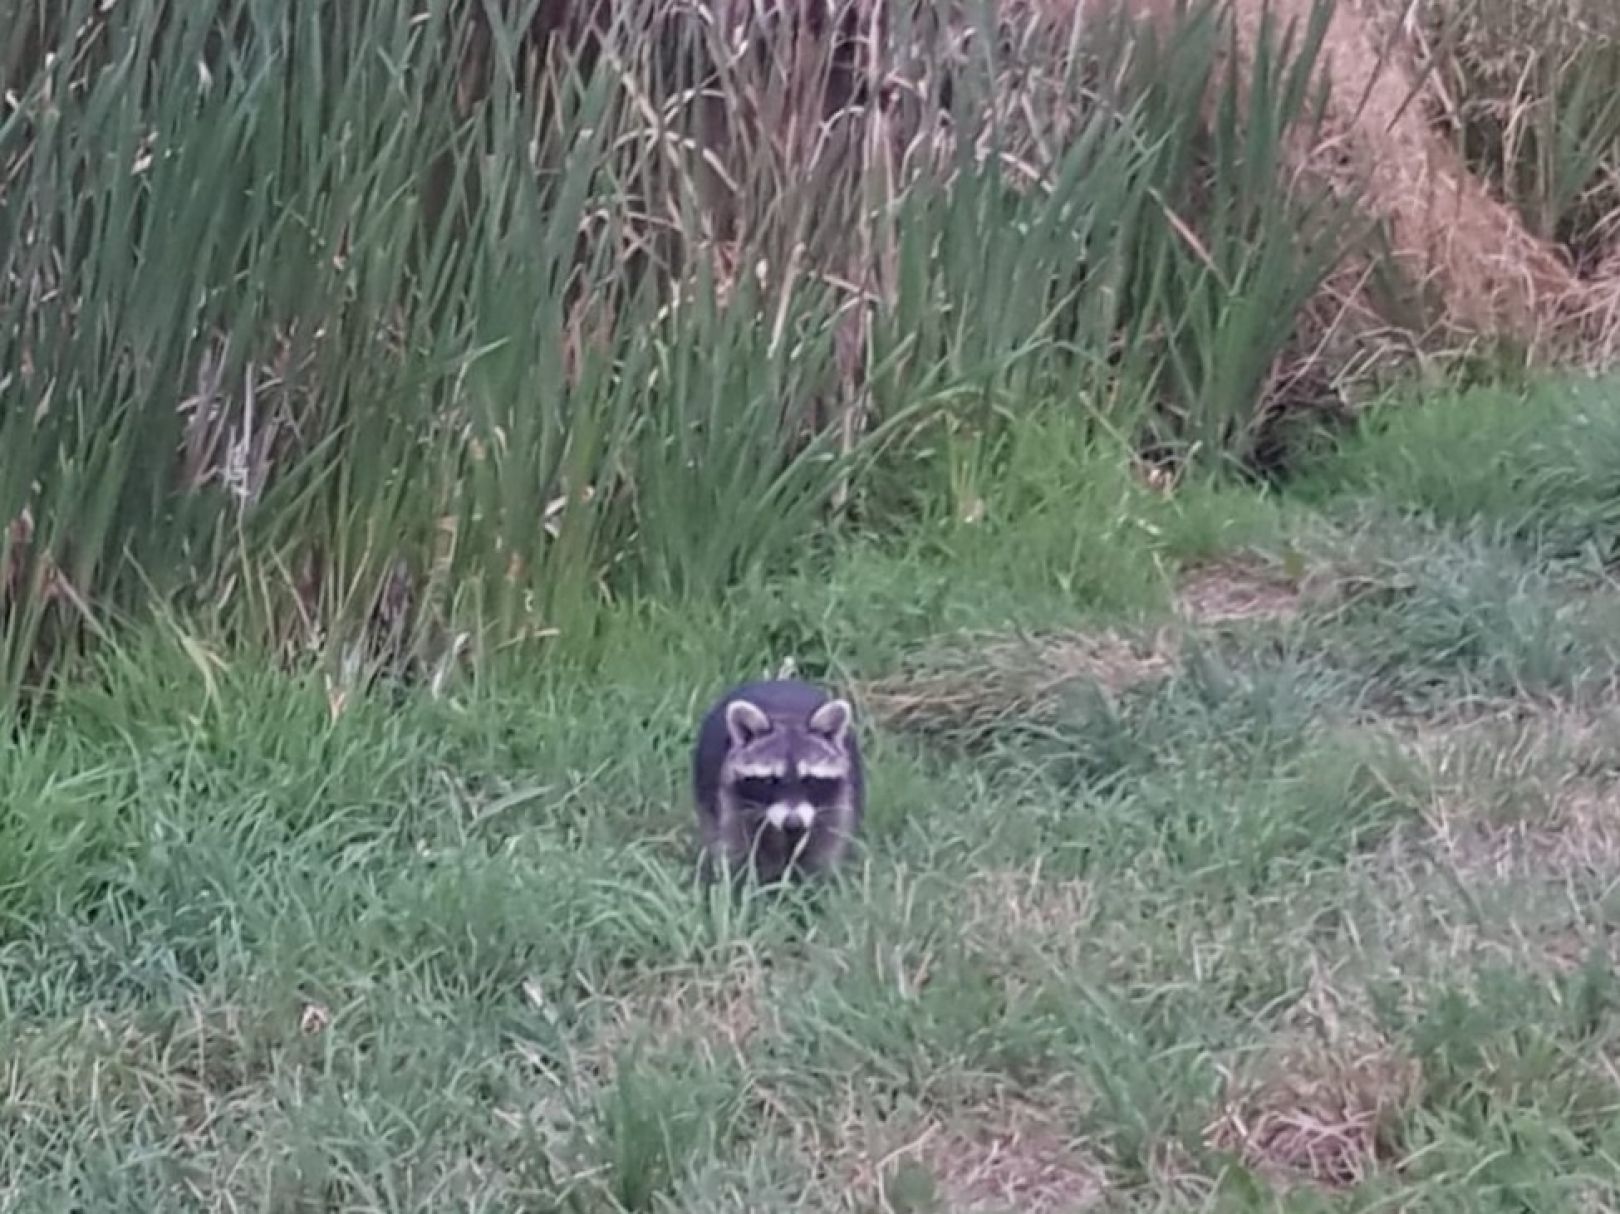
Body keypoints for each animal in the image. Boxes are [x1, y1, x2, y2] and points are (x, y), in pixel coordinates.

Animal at [690, 677, 868, 888]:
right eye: (769, 781)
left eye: (809, 780)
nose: (793, 824)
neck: (788, 718)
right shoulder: (731, 796)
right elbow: (736, 844)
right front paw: (740, 883)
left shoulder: (838, 800)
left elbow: (827, 844)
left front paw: (816, 885)